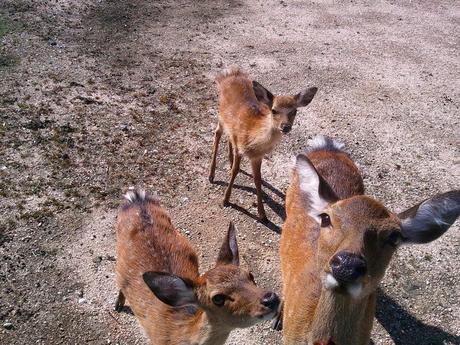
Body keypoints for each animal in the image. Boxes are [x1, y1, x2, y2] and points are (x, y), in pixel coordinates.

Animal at [114, 189, 280, 342]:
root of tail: (136, 199)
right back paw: (118, 305)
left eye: (250, 275)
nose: (270, 298)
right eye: (218, 298)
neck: (176, 334)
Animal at [208, 68, 316, 220]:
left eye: (294, 111)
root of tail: (228, 75)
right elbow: (235, 171)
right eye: (274, 110)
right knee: (217, 133)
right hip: (221, 115)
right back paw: (211, 175)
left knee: (228, 137)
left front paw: (262, 213)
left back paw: (228, 162)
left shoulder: (257, 156)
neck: (253, 138)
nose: (285, 126)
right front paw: (225, 200)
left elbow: (258, 179)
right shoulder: (240, 147)